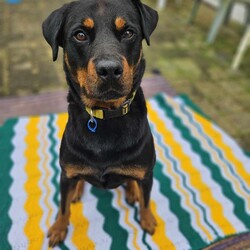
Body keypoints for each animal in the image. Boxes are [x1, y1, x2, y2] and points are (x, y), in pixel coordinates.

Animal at [42, 0, 157, 246]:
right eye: (80, 35)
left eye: (128, 32)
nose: (110, 70)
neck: (106, 114)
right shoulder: (65, 173)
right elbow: (63, 206)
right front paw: (58, 228)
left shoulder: (146, 173)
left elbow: (146, 199)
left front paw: (147, 219)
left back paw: (132, 191)